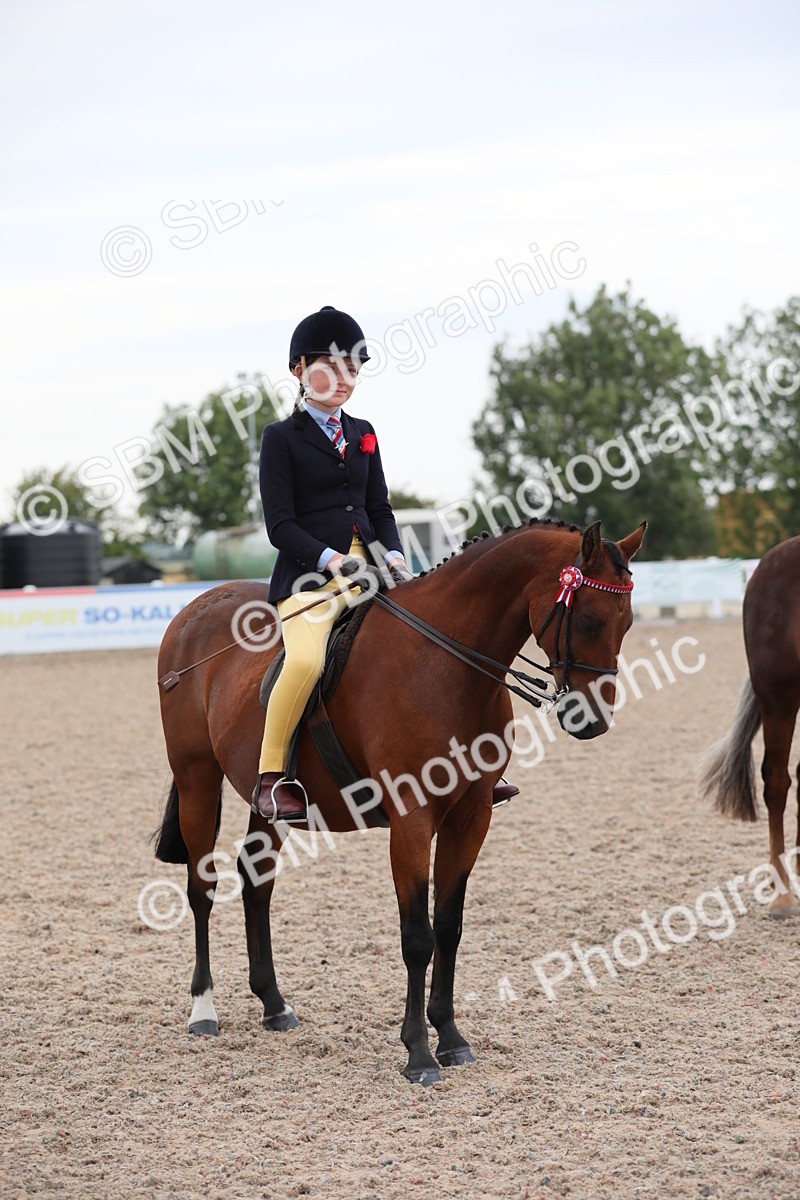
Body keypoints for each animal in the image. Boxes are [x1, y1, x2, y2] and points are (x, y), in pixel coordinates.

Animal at [152, 516, 646, 1085]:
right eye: (586, 620)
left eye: (627, 623)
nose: (591, 721)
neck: (448, 662)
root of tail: (196, 608)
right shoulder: (412, 819)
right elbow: (417, 937)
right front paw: (419, 1055)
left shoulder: (471, 817)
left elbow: (449, 927)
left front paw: (451, 1038)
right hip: (196, 777)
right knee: (201, 887)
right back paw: (203, 1010)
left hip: (268, 804)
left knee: (256, 881)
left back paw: (274, 1005)